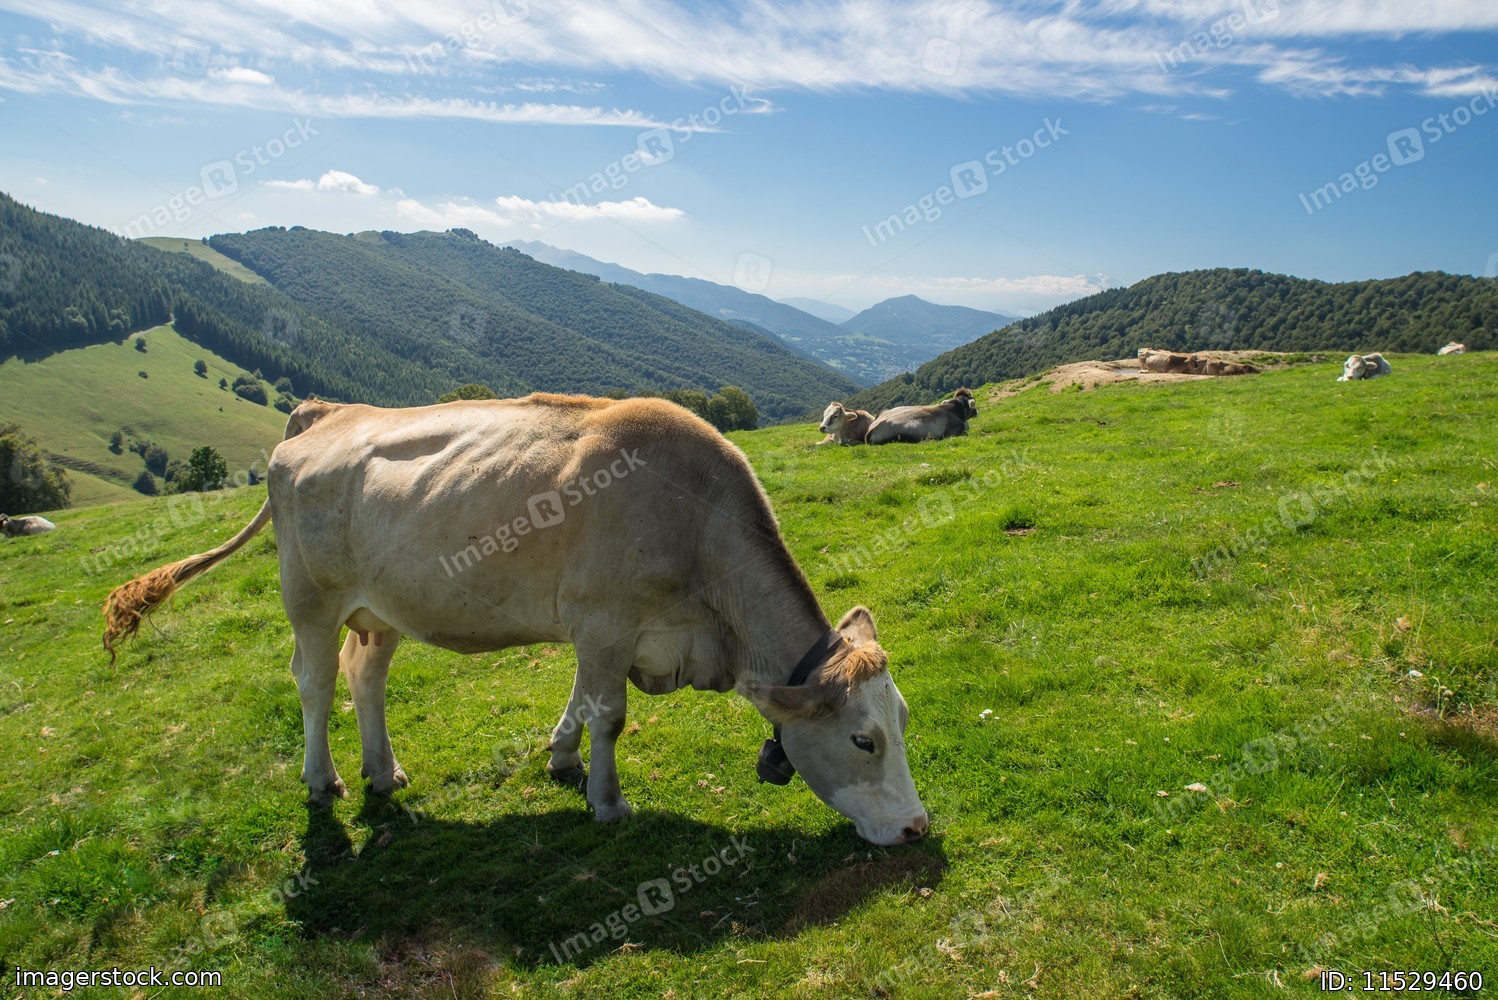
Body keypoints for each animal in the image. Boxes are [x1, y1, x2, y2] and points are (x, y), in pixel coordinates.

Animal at [102, 395, 929, 846]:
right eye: (864, 739)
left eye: (904, 719)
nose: (918, 827)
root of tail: (325, 415)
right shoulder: (605, 620)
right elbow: (608, 716)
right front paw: (608, 802)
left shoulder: (601, 630)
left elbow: (580, 703)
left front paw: (560, 759)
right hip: (310, 598)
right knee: (312, 682)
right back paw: (322, 778)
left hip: (378, 609)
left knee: (365, 677)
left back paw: (382, 772)